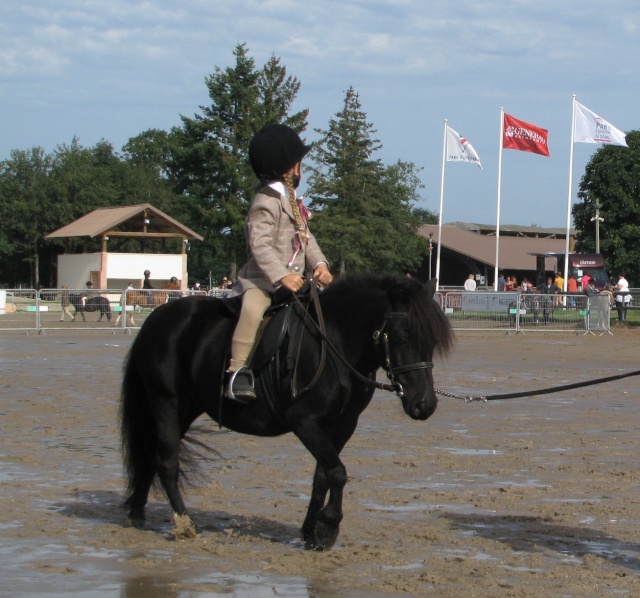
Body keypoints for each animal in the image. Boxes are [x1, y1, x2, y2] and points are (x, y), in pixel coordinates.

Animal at [119, 274, 450, 552]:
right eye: (402, 337)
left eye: (432, 341)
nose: (425, 404)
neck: (334, 345)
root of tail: (159, 318)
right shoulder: (307, 423)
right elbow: (338, 473)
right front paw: (328, 527)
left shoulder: (342, 426)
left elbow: (323, 475)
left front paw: (310, 532)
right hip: (165, 401)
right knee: (166, 461)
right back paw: (185, 523)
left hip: (187, 407)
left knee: (151, 455)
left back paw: (137, 511)